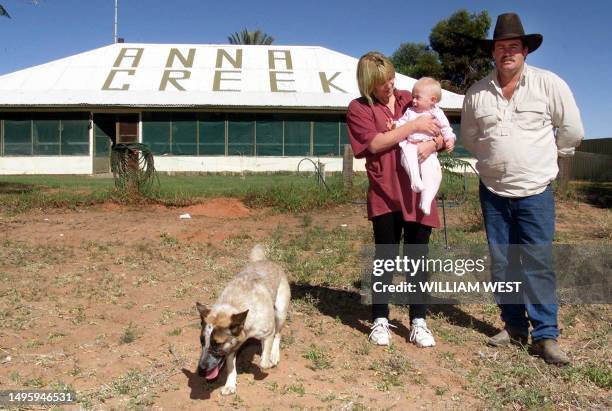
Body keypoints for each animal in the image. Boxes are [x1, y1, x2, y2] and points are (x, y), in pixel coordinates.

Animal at [196, 245, 292, 396]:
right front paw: (230, 385)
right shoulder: (231, 348)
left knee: (278, 334)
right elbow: (230, 367)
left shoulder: (267, 333)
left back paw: (274, 354)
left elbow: (264, 361)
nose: (201, 368)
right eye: (202, 341)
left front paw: (267, 359)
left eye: (217, 344)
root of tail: (264, 260)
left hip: (280, 313)